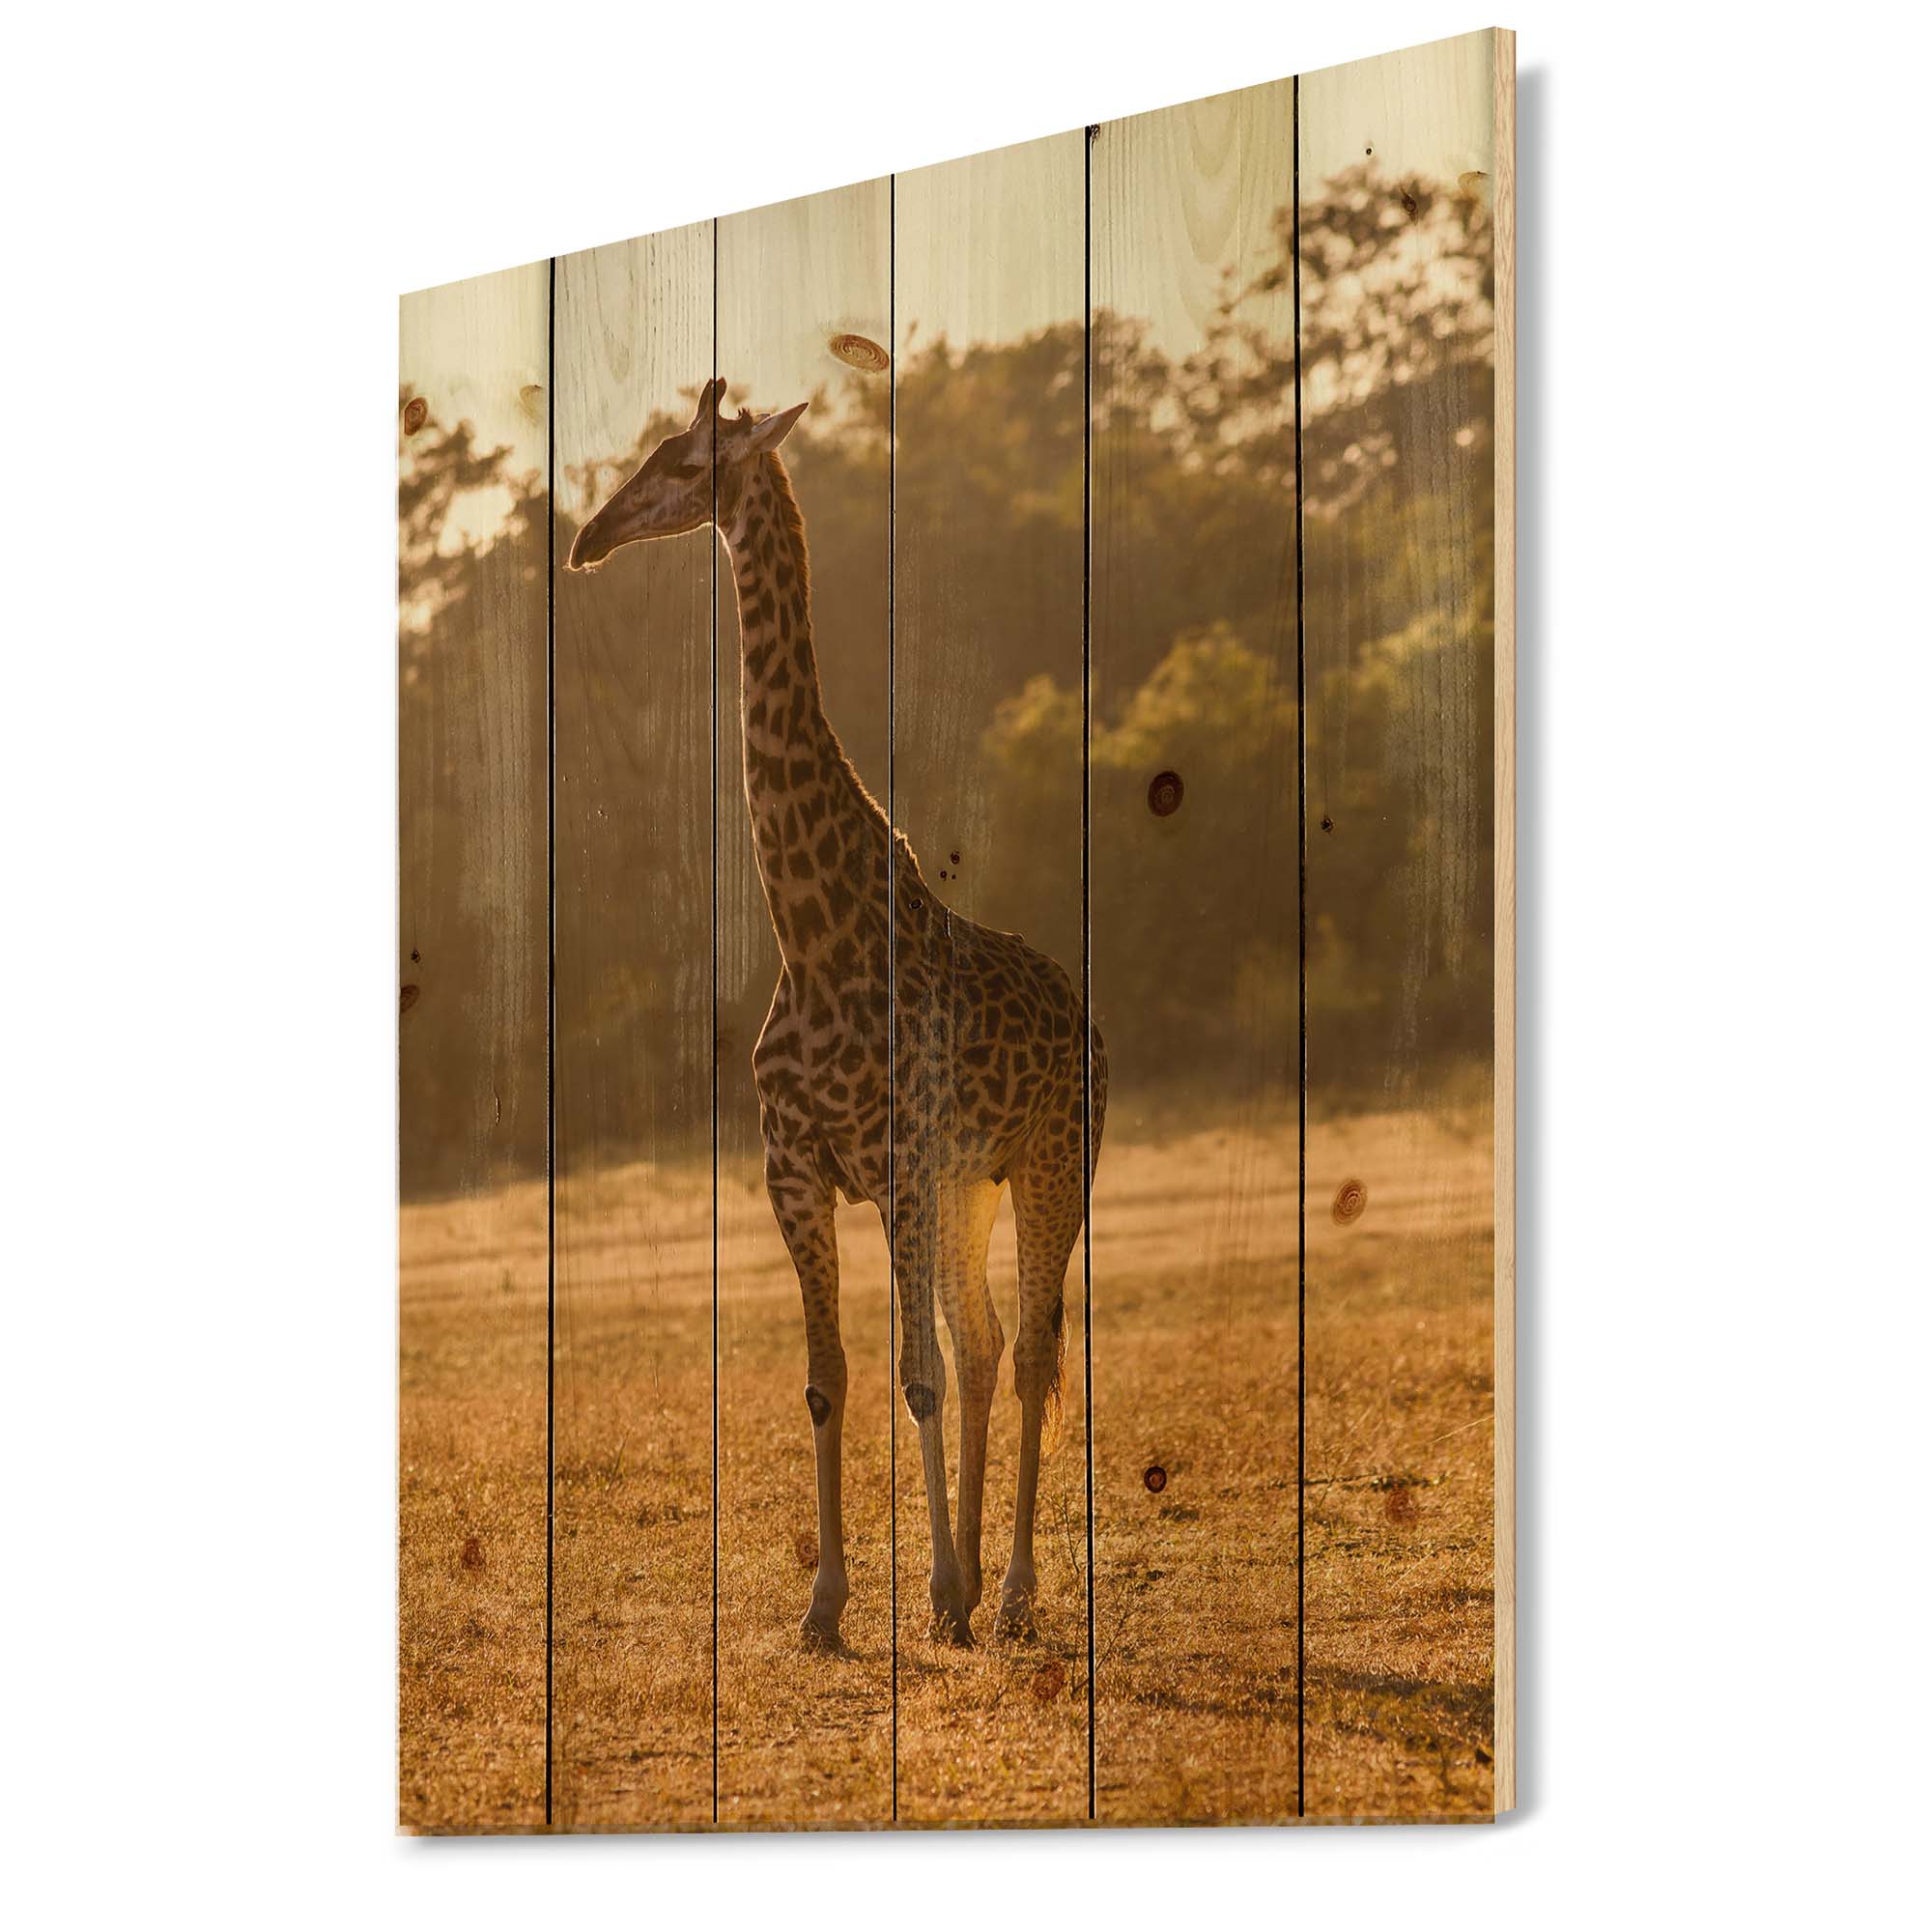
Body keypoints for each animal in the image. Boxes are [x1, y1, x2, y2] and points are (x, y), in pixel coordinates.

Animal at [569, 379, 1106, 1648]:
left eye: (680, 461)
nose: (588, 538)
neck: (809, 934)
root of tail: (1092, 1023)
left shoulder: (895, 1164)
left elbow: (911, 1374)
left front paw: (941, 1586)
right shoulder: (796, 1170)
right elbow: (833, 1380)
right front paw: (829, 1604)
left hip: (1051, 1165)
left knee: (1029, 1353)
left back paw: (1009, 1591)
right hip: (970, 1187)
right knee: (983, 1342)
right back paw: (974, 1579)